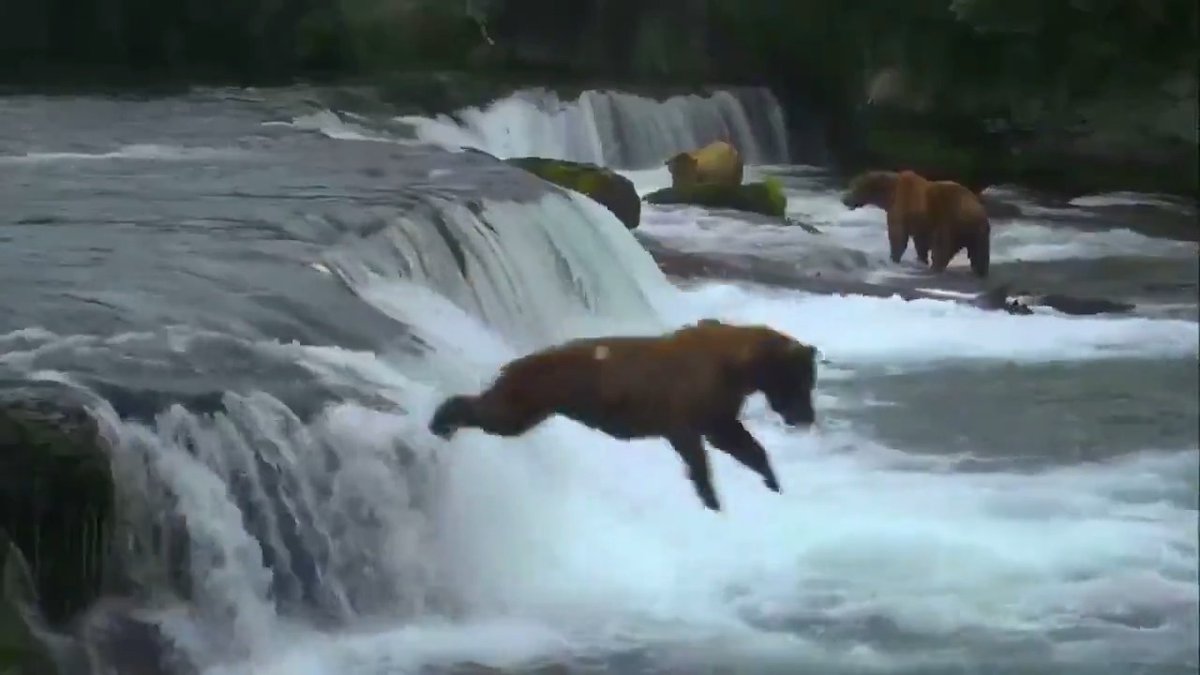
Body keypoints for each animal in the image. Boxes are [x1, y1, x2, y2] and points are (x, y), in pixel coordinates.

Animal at [427, 319, 819, 512]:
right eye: (801, 382)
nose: (807, 417)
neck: (735, 366)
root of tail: (512, 363)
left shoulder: (719, 411)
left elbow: (739, 442)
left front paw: (771, 480)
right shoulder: (685, 409)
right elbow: (697, 452)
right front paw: (710, 498)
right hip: (527, 397)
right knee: (492, 413)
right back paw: (442, 419)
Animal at [842, 169, 991, 277]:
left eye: (853, 187)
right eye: (850, 185)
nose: (844, 199)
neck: (890, 193)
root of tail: (979, 210)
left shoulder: (902, 207)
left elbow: (898, 236)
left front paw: (893, 258)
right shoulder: (921, 223)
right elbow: (920, 242)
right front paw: (921, 260)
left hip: (951, 220)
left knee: (942, 245)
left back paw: (935, 267)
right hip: (979, 231)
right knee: (979, 251)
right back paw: (980, 270)